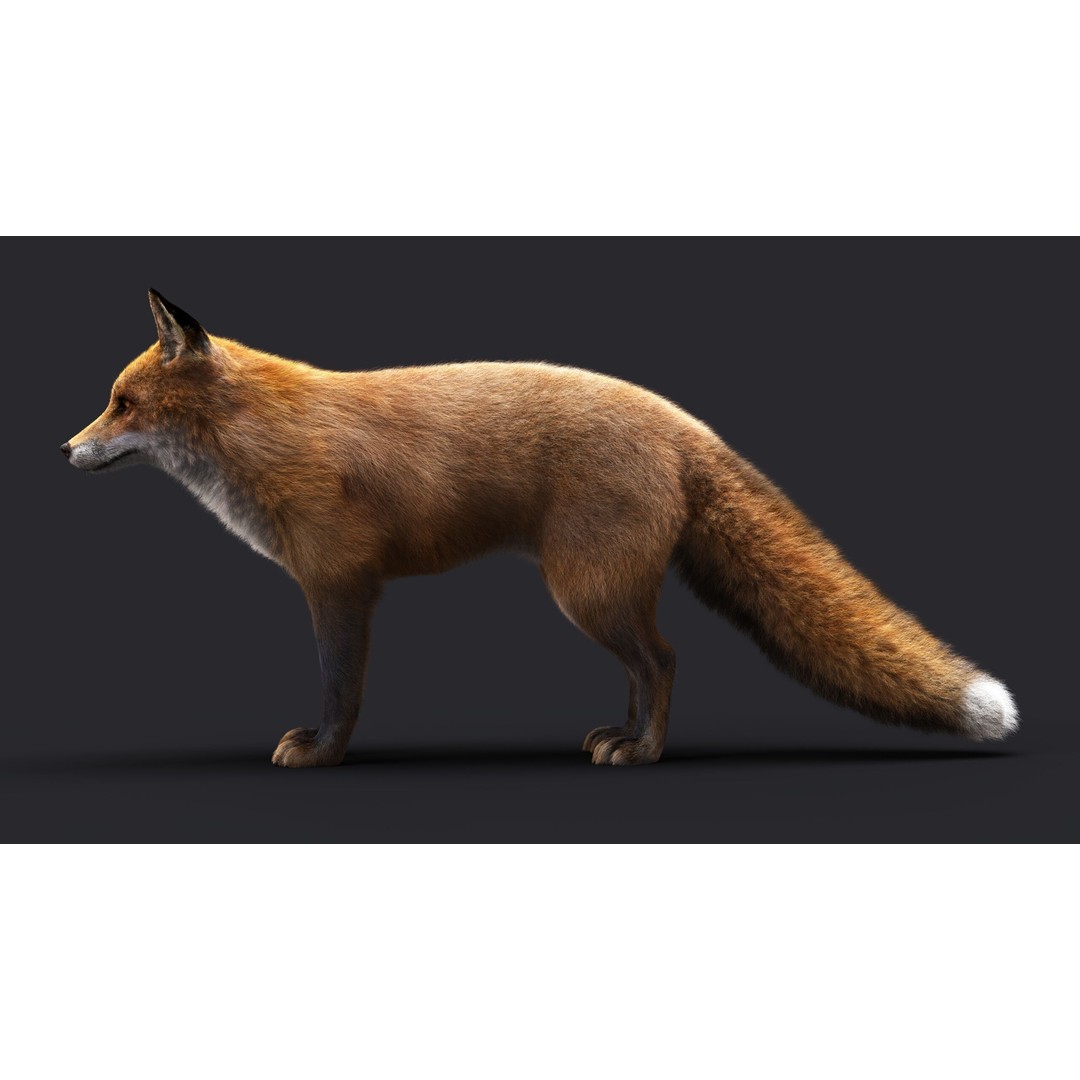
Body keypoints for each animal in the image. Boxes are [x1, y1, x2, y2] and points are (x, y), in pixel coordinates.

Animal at [62, 290, 1018, 767]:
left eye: (122, 403)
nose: (66, 450)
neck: (264, 435)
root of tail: (682, 421)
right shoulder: (342, 585)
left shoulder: (340, 585)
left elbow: (341, 688)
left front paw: (323, 751)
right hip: (602, 594)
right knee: (645, 666)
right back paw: (617, 735)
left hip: (587, 592)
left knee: (664, 661)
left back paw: (644, 753)